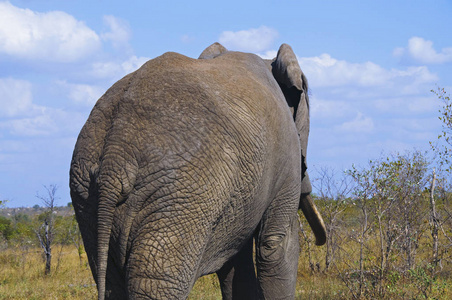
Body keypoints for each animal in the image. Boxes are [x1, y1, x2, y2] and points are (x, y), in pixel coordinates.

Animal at [69, 42, 324, 300]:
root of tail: (117, 149)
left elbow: (236, 263)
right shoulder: (287, 158)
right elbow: (274, 245)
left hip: (86, 189)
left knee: (112, 281)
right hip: (183, 194)